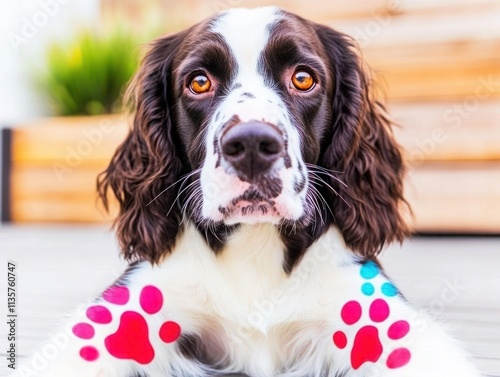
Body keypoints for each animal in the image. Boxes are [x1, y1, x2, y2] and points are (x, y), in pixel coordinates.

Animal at [19, 5, 480, 376]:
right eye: (199, 82)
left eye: (303, 78)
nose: (253, 145)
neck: (255, 249)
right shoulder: (125, 316)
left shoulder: (378, 319)